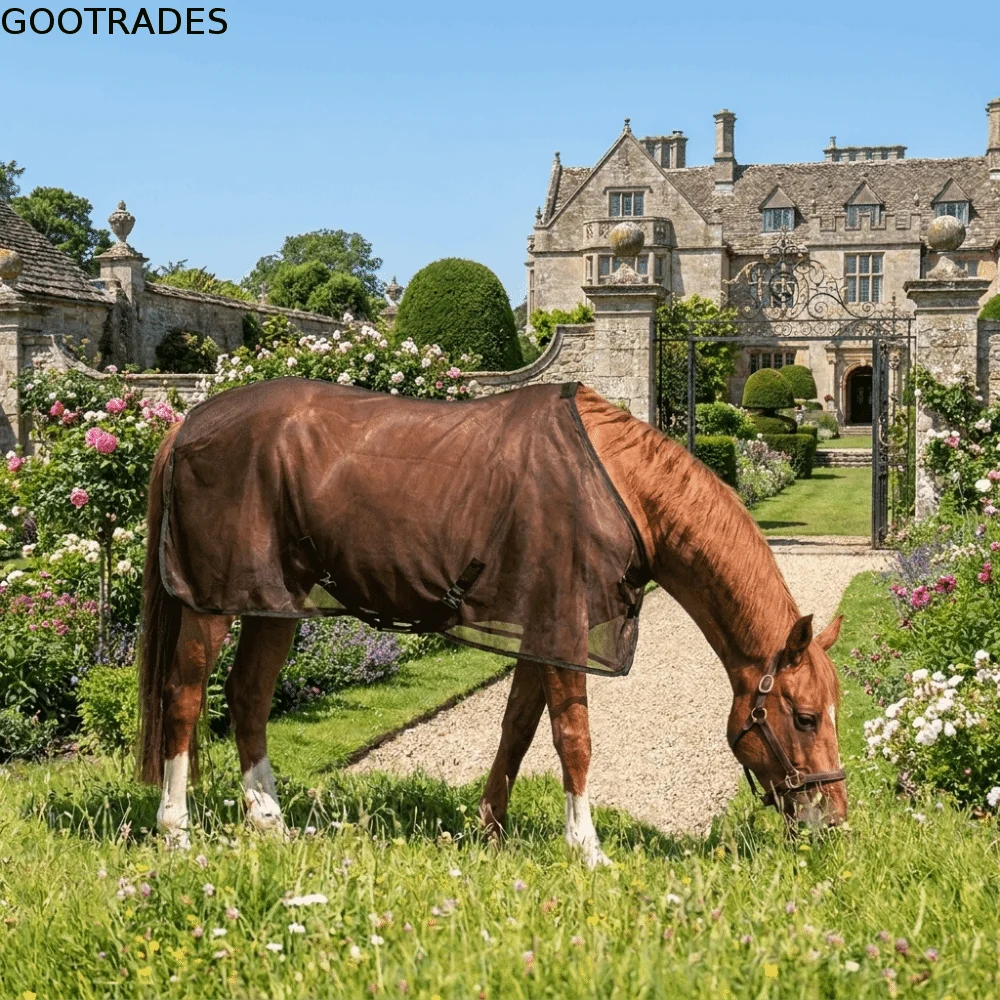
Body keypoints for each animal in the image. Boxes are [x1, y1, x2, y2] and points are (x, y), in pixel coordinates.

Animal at [138, 379, 846, 860]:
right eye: (807, 716)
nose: (834, 818)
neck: (619, 487)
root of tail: (188, 421)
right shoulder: (566, 628)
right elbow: (573, 738)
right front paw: (587, 849)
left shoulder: (544, 631)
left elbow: (519, 728)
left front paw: (492, 830)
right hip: (209, 605)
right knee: (186, 696)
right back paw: (175, 832)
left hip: (274, 603)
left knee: (248, 695)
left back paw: (270, 821)